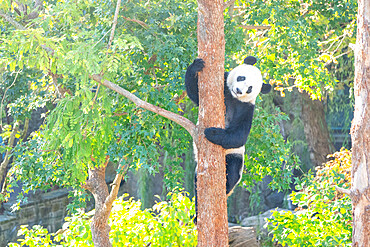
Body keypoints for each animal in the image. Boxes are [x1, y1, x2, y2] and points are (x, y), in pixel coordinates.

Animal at [185, 55, 272, 218]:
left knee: (232, 172)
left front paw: (212, 132)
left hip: (235, 157)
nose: (238, 90)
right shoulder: (223, 87)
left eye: (250, 88)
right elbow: (195, 94)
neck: (232, 97)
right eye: (241, 77)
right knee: (197, 183)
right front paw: (196, 66)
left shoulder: (246, 108)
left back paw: (224, 188)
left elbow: (239, 135)